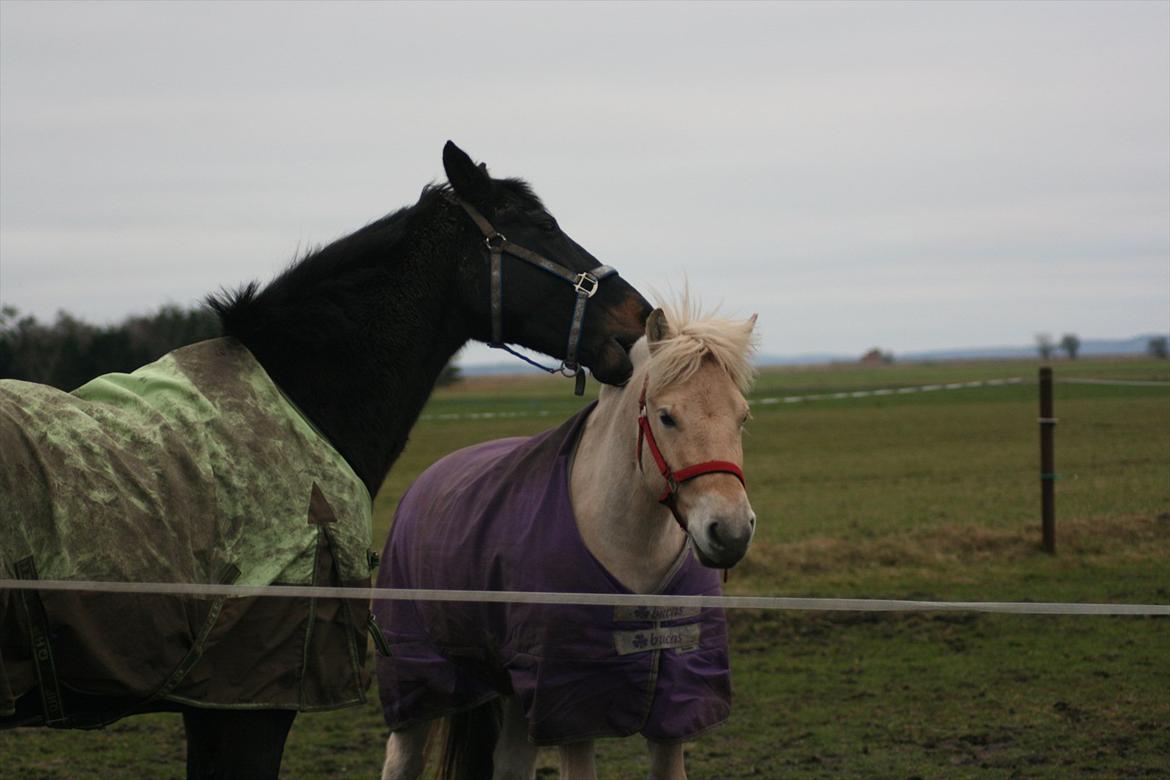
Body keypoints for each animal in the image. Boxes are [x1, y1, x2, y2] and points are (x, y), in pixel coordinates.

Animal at [376, 301, 758, 780]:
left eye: (742, 417)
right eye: (667, 417)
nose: (731, 531)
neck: (632, 554)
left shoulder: (674, 709)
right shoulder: (571, 709)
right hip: (419, 679)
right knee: (402, 759)